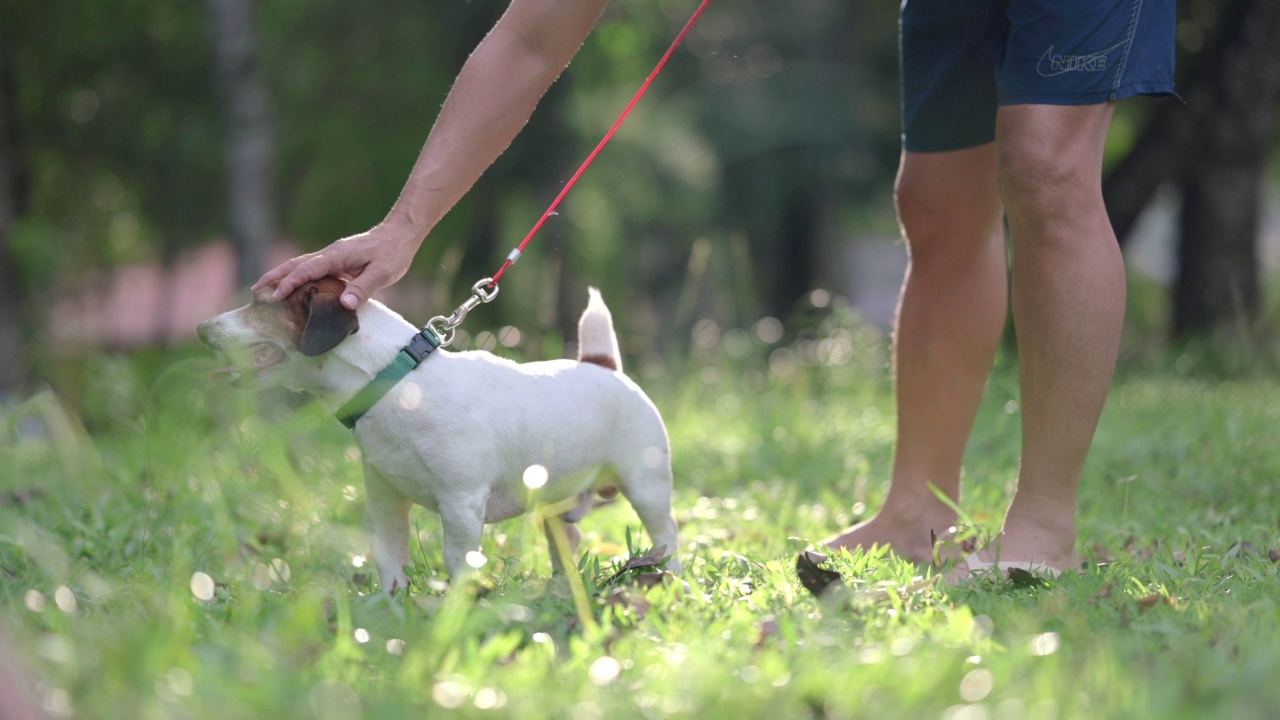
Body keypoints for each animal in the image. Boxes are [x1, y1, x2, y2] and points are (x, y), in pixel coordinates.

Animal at [194, 275, 675, 589]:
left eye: (261, 304)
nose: (200, 328)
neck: (395, 383)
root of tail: (602, 364)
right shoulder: (384, 502)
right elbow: (390, 560)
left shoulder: (461, 504)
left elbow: (457, 560)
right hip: (556, 503)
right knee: (568, 539)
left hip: (646, 486)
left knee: (666, 531)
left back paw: (667, 575)